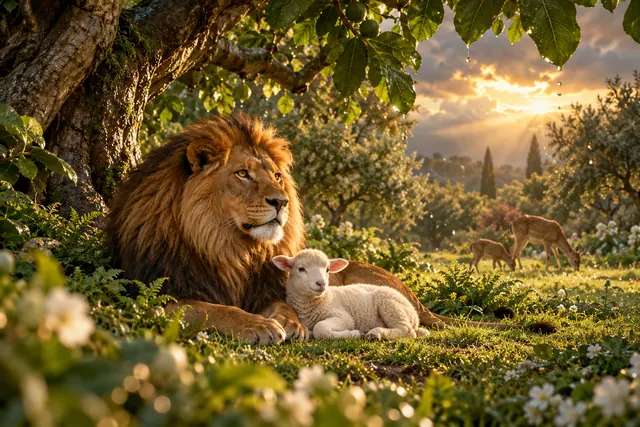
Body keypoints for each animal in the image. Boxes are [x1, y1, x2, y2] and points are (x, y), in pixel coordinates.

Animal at [107, 113, 554, 345]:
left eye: (276, 177)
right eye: (242, 174)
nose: (281, 203)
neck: (230, 248)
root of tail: (413, 295)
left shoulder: (264, 286)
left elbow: (282, 307)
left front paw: (290, 323)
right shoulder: (153, 292)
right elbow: (212, 308)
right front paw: (258, 326)